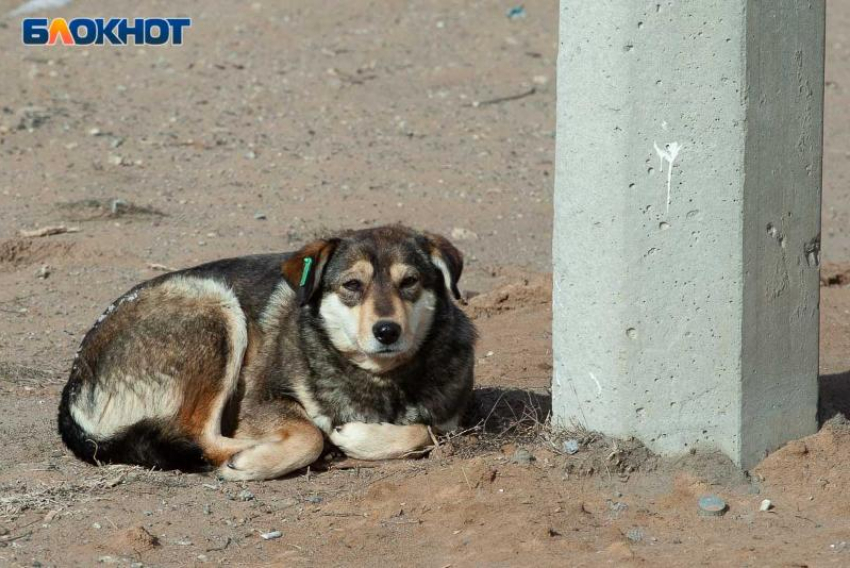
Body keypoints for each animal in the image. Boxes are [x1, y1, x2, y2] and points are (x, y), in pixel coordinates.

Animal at [56, 225, 474, 480]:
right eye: (352, 285)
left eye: (410, 282)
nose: (387, 331)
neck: (379, 378)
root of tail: (75, 380)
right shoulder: (258, 400)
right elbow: (311, 434)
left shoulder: (451, 417)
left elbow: (425, 432)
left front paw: (361, 438)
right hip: (216, 313)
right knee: (196, 435)